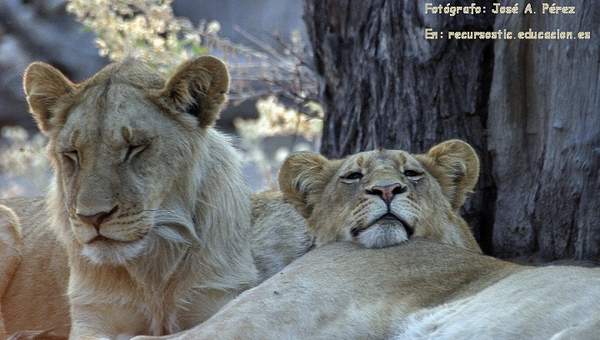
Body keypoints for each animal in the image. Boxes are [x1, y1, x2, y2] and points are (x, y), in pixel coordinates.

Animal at [1, 55, 310, 338]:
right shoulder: (93, 314)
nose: (92, 217)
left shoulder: (218, 299)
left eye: (135, 148)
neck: (154, 266)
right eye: (72, 153)